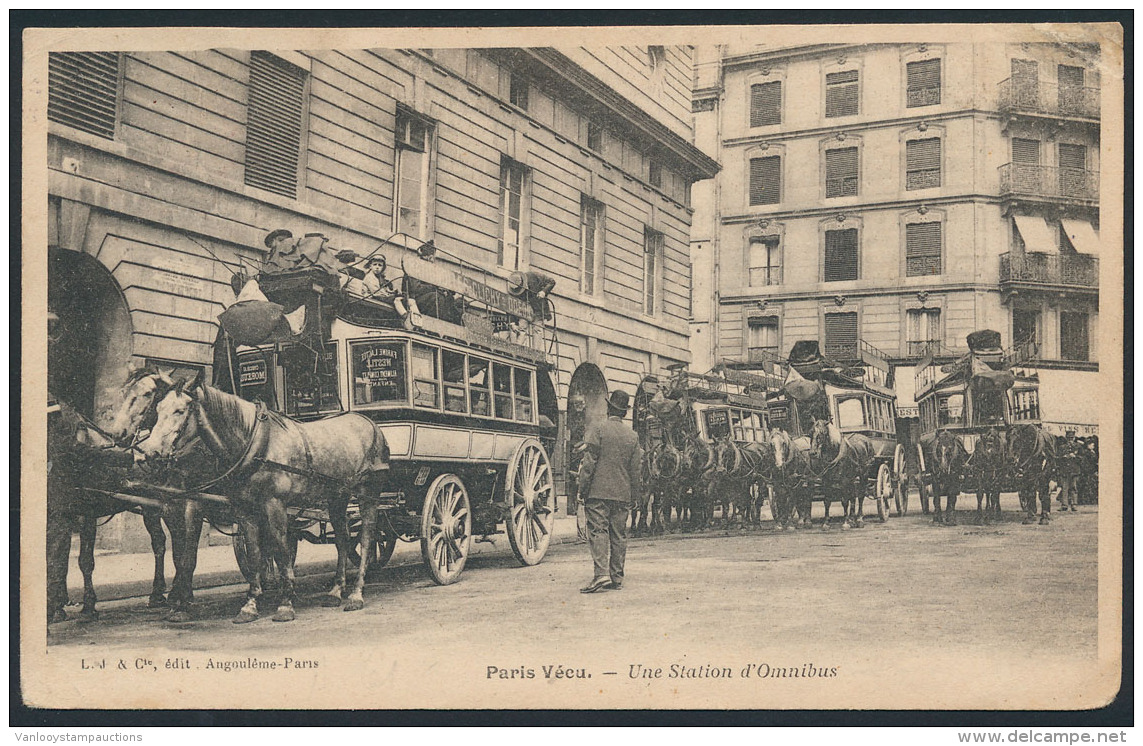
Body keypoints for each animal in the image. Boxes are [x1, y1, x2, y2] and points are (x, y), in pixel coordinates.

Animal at [135, 379, 388, 621]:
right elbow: (256, 553)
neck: (256, 444)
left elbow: (281, 550)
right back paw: (335, 591)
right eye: (157, 409)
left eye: (179, 411)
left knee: (367, 538)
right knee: (343, 540)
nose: (149, 453)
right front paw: (250, 605)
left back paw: (356, 593)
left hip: (368, 493)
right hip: (337, 496)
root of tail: (369, 422)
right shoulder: (245, 510)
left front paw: (285, 603)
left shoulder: (274, 505)